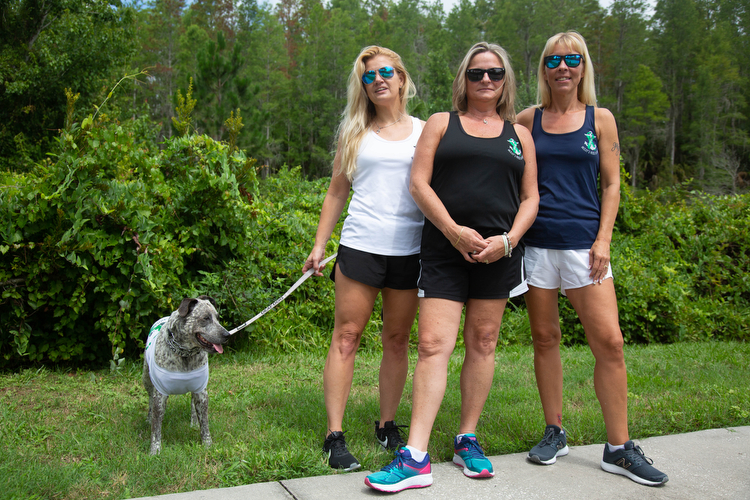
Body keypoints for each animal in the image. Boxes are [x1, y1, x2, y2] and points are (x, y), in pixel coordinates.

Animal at [143, 294, 231, 456]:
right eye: (205, 318)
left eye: (217, 318)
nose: (227, 335)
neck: (185, 354)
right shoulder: (160, 395)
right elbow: (156, 427)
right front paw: (155, 450)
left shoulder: (201, 391)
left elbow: (204, 423)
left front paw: (207, 444)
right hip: (146, 378)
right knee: (150, 399)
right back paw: (148, 418)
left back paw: (194, 423)